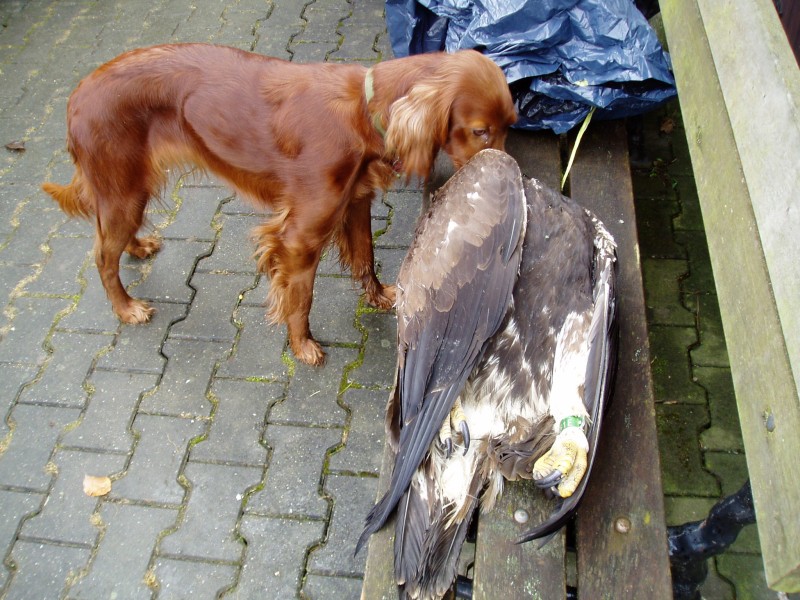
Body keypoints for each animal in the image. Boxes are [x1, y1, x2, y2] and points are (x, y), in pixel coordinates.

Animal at [43, 43, 520, 366]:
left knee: (114, 241)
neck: (363, 109)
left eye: (511, 125)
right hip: (122, 191)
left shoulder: (355, 202)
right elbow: (301, 296)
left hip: (129, 191)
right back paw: (127, 308)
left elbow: (366, 256)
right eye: (479, 130)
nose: (506, 169)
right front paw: (302, 345)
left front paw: (379, 295)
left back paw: (139, 247)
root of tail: (76, 97)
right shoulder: (300, 235)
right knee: (101, 255)